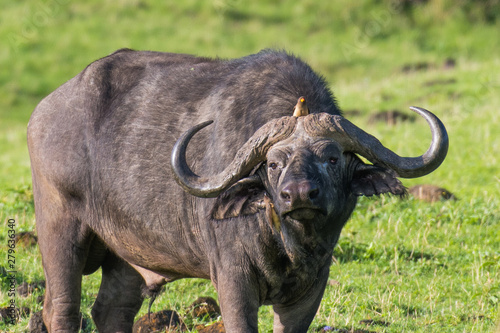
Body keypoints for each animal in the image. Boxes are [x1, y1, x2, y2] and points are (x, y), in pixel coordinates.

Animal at [28, 48, 450, 330]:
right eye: (273, 164)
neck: (287, 242)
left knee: (112, 310)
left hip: (127, 254)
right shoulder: (233, 281)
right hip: (59, 228)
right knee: (62, 308)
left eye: (332, 158)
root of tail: (44, 112)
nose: (298, 195)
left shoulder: (312, 288)